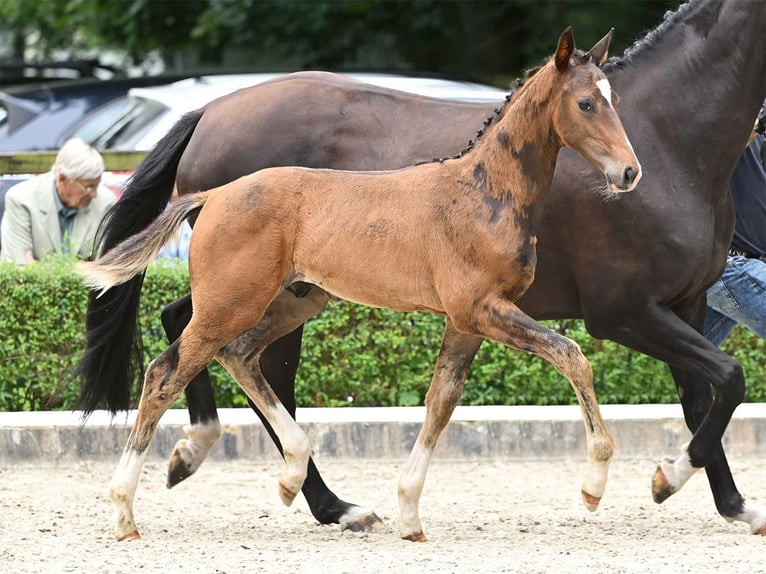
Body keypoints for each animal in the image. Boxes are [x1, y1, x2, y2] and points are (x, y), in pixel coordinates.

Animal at [78, 29, 640, 544]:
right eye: (586, 103)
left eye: (614, 99)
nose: (630, 172)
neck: (484, 191)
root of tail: (213, 195)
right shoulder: (481, 309)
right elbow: (571, 355)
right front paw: (594, 485)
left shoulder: (467, 322)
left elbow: (441, 402)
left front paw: (409, 514)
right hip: (231, 305)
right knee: (164, 373)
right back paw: (126, 510)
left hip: (293, 301)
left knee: (238, 355)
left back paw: (293, 476)